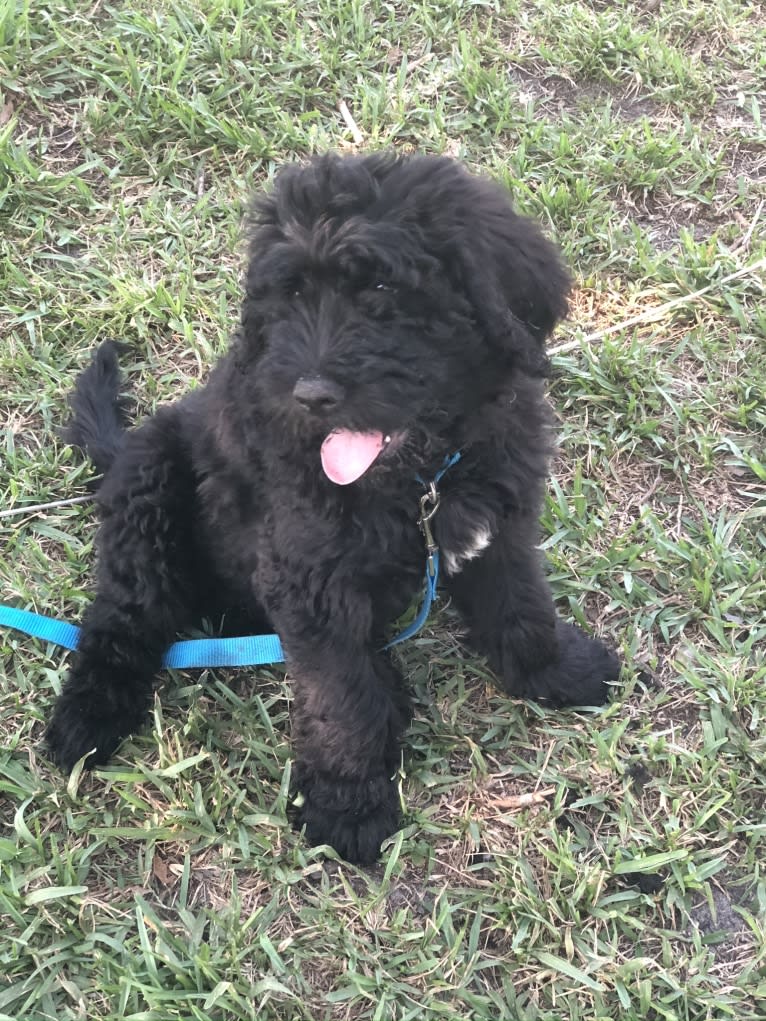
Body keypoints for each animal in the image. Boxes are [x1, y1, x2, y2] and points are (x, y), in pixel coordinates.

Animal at [46, 153, 625, 861]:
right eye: (292, 296)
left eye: (381, 291)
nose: (311, 395)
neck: (423, 478)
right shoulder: (309, 580)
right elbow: (339, 696)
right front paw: (349, 806)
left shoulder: (502, 527)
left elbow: (522, 605)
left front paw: (557, 671)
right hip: (148, 496)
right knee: (124, 620)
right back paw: (89, 716)